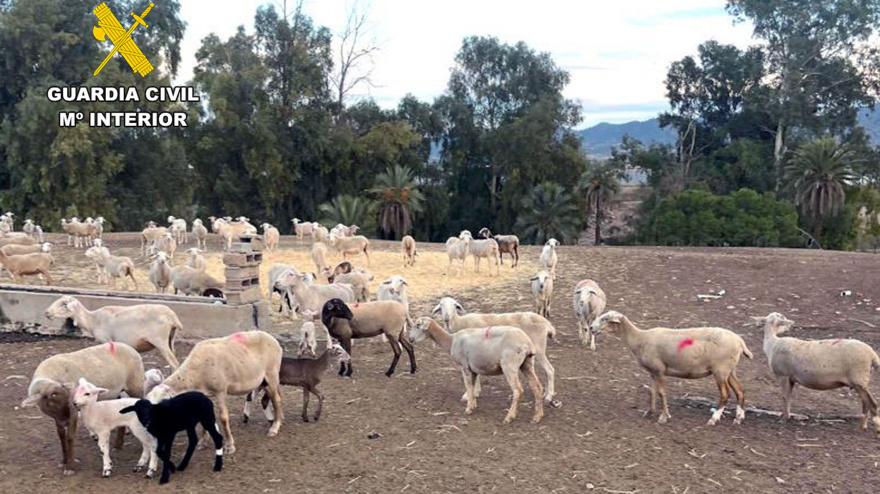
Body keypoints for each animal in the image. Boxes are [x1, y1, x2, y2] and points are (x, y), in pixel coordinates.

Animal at [20, 342, 145, 476]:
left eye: (68, 400)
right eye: (50, 401)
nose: (66, 420)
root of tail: (127, 346)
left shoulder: (73, 412)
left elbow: (69, 437)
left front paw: (70, 467)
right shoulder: (58, 418)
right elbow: (61, 435)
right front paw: (64, 460)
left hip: (135, 385)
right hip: (117, 391)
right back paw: (118, 444)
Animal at [45, 295, 182, 368]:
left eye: (64, 304)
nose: (47, 312)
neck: (92, 319)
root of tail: (173, 317)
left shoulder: (106, 340)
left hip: (160, 340)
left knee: (174, 363)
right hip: (170, 339)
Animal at [146, 331, 283, 455]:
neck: (194, 373)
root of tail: (272, 338)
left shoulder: (220, 391)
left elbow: (223, 418)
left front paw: (229, 446)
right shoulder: (204, 394)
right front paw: (203, 443)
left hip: (272, 373)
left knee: (277, 400)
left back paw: (274, 428)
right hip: (264, 381)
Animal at [408, 317, 543, 424]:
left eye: (418, 325)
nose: (410, 339)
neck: (451, 341)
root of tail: (527, 343)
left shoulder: (464, 366)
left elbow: (468, 386)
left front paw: (468, 409)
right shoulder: (473, 369)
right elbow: (472, 387)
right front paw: (473, 405)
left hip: (509, 365)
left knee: (518, 391)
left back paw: (509, 417)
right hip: (527, 364)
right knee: (537, 387)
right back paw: (537, 416)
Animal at [590, 311, 753, 425]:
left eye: (605, 319)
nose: (591, 327)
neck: (639, 339)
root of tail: (740, 341)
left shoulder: (660, 370)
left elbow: (662, 393)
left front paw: (664, 416)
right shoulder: (653, 372)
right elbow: (652, 391)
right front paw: (650, 412)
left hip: (720, 369)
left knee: (725, 394)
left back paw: (714, 419)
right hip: (730, 369)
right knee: (740, 390)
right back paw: (739, 418)